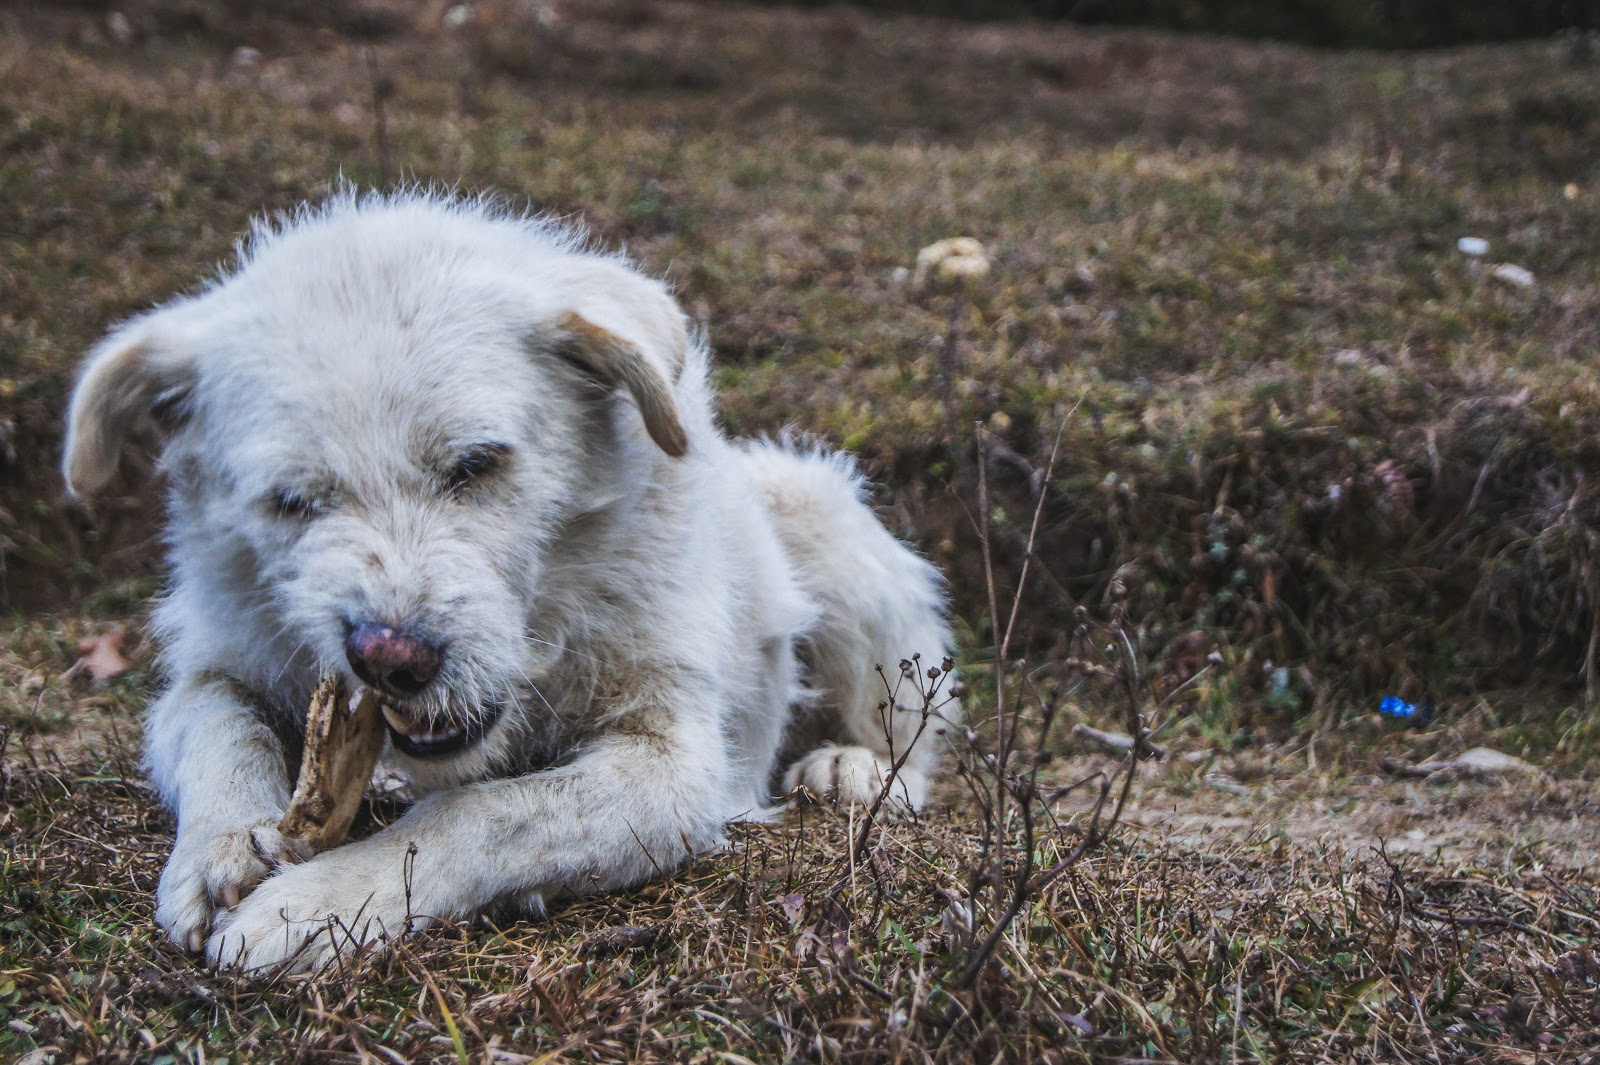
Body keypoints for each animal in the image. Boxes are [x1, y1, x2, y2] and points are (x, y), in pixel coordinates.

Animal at [62, 191, 953, 972]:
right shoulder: (213, 669)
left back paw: (855, 770)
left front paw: (322, 902)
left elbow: (485, 812)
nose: (389, 658)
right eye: (291, 501)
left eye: (476, 463)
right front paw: (220, 850)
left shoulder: (671, 765)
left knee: (913, 732)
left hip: (820, 523)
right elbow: (221, 729)